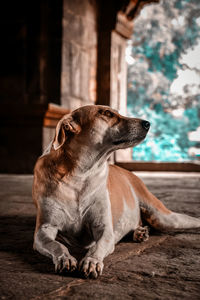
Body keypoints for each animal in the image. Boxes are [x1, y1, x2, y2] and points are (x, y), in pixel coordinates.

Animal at [32, 105, 200, 278]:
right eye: (106, 113)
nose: (147, 123)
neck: (79, 175)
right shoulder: (43, 230)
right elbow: (57, 245)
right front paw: (65, 258)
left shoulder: (104, 229)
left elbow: (97, 247)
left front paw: (91, 261)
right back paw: (139, 232)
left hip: (164, 217)